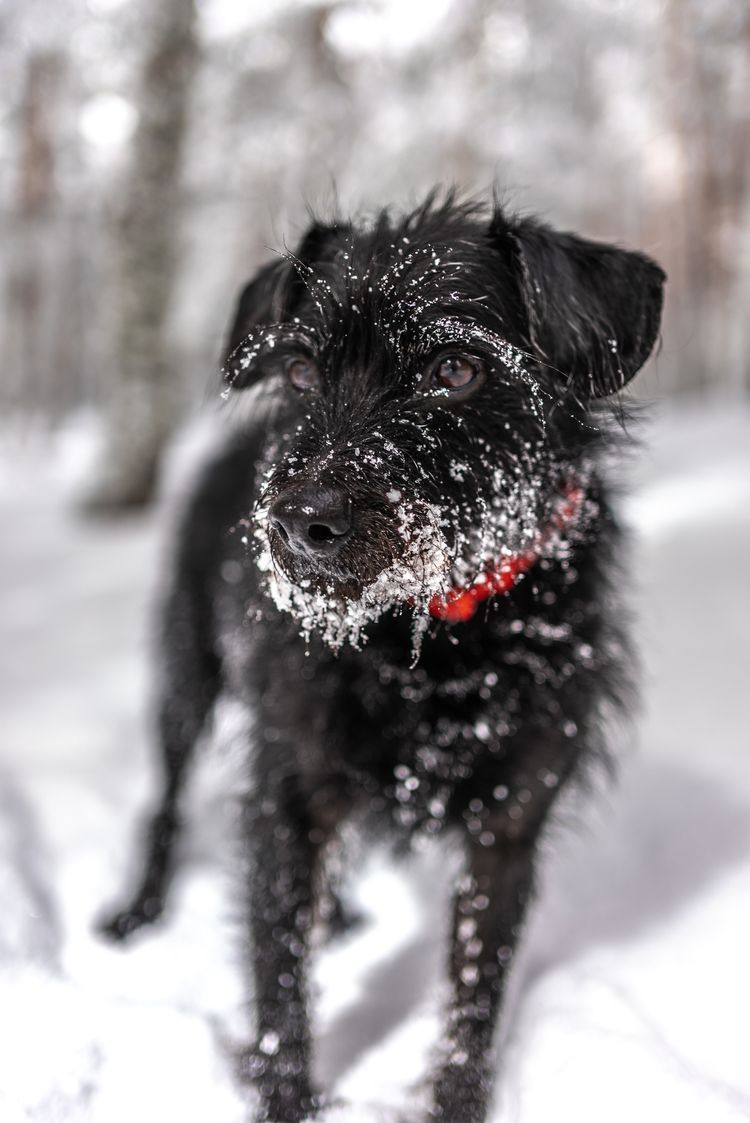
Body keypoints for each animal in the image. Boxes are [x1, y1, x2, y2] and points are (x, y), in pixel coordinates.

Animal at [99, 195, 660, 1123]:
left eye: (455, 368)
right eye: (298, 373)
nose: (299, 522)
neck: (432, 637)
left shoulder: (509, 827)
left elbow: (474, 993)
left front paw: (456, 1102)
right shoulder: (285, 792)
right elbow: (279, 980)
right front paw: (286, 1097)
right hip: (187, 675)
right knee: (168, 795)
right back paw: (140, 908)